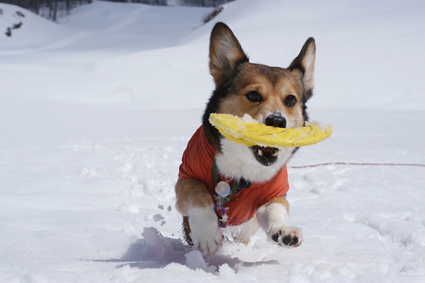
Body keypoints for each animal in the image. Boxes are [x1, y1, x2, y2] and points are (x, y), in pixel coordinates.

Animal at [173, 23, 314, 256]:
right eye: (253, 95)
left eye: (290, 100)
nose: (277, 120)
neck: (243, 168)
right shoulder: (186, 177)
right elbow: (198, 193)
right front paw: (207, 234)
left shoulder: (275, 192)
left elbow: (276, 209)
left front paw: (284, 231)